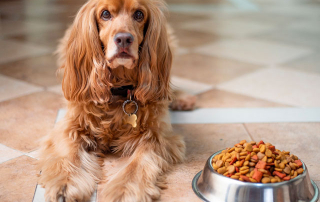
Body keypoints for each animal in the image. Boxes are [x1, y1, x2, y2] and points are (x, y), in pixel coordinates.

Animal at [37, 0, 192, 201]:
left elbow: (136, 165)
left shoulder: (156, 137)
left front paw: (124, 191)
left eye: (139, 14)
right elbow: (69, 154)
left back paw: (182, 99)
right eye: (105, 14)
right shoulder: (71, 127)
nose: (124, 39)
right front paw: (64, 184)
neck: (119, 90)